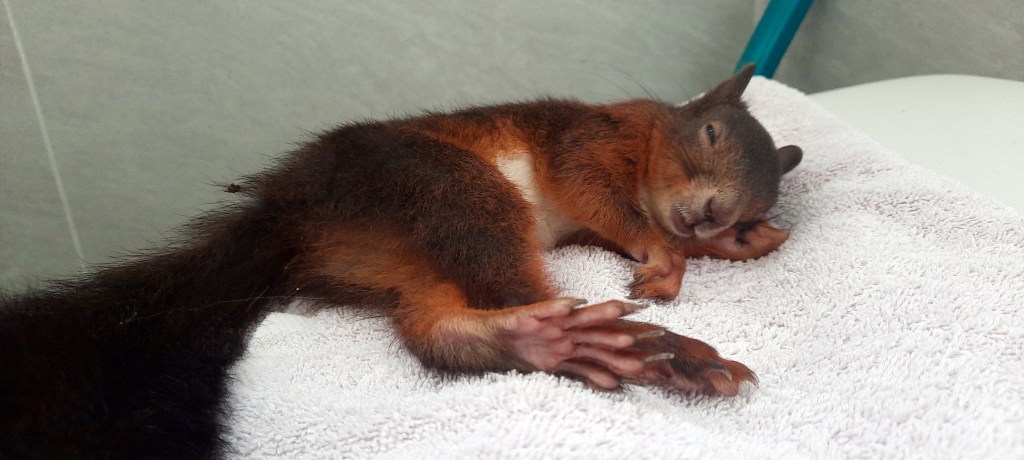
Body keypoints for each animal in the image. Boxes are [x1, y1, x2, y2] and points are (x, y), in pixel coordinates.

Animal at [0, 65, 801, 459]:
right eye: (709, 133)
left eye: (755, 207)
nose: (718, 217)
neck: (648, 143)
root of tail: (286, 217)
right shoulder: (586, 138)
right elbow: (594, 191)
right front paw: (667, 253)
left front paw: (725, 246)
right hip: (443, 185)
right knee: (498, 275)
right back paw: (633, 344)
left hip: (401, 257)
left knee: (435, 328)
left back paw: (551, 343)